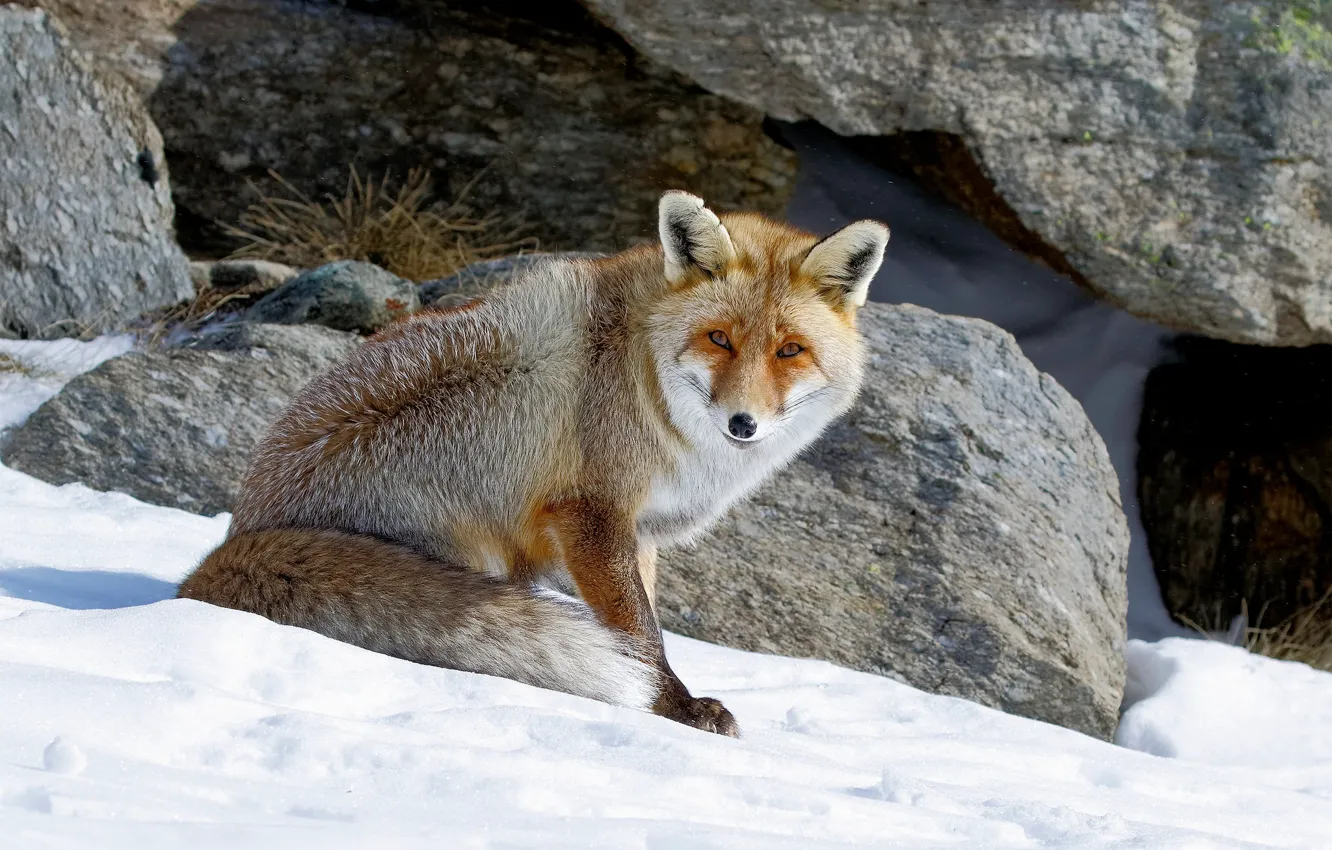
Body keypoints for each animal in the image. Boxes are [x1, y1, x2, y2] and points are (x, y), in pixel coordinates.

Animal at [177, 191, 889, 736]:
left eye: (790, 350)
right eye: (719, 339)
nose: (744, 424)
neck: (642, 377)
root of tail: (220, 552)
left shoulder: (638, 533)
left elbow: (646, 622)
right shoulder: (590, 514)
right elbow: (641, 635)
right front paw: (673, 707)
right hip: (471, 541)